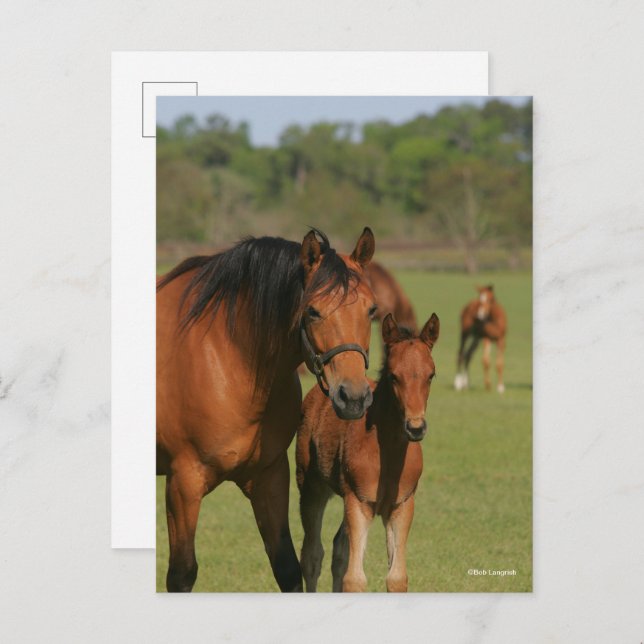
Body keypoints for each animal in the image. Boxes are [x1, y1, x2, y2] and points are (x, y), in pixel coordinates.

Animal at [156, 227, 377, 592]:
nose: (354, 397)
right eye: (312, 311)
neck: (229, 355)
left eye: (372, 310)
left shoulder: (269, 475)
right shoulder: (183, 483)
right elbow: (182, 574)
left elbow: (287, 567)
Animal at [296, 312, 440, 592]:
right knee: (312, 555)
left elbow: (396, 578)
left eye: (431, 375)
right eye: (394, 376)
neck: (388, 456)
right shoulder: (358, 502)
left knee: (338, 550)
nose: (415, 427)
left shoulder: (401, 505)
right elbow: (354, 578)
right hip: (311, 488)